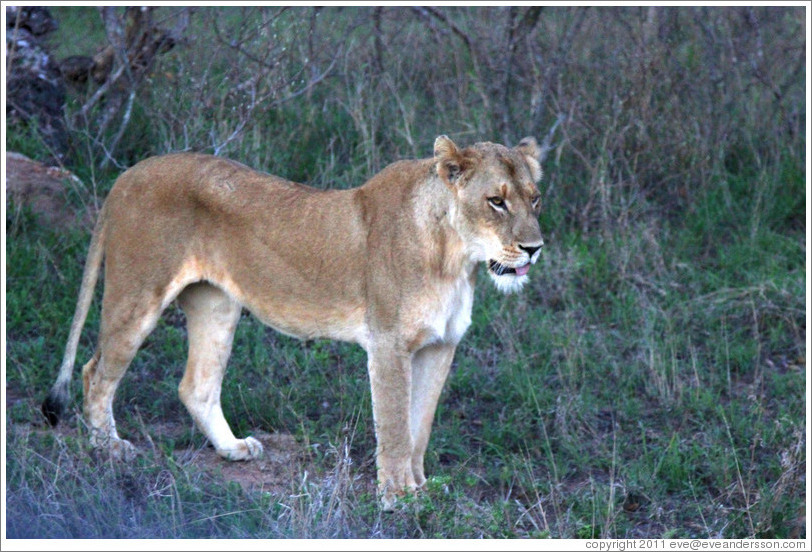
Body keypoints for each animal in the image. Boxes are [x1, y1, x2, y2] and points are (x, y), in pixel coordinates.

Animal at [42, 135, 545, 509]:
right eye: (496, 201)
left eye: (535, 200)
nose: (535, 249)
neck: (455, 258)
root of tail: (127, 174)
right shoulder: (388, 344)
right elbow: (396, 427)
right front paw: (397, 497)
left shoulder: (441, 345)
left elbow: (419, 425)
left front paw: (421, 489)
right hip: (138, 294)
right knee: (94, 371)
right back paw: (109, 449)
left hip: (216, 306)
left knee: (196, 386)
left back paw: (232, 448)